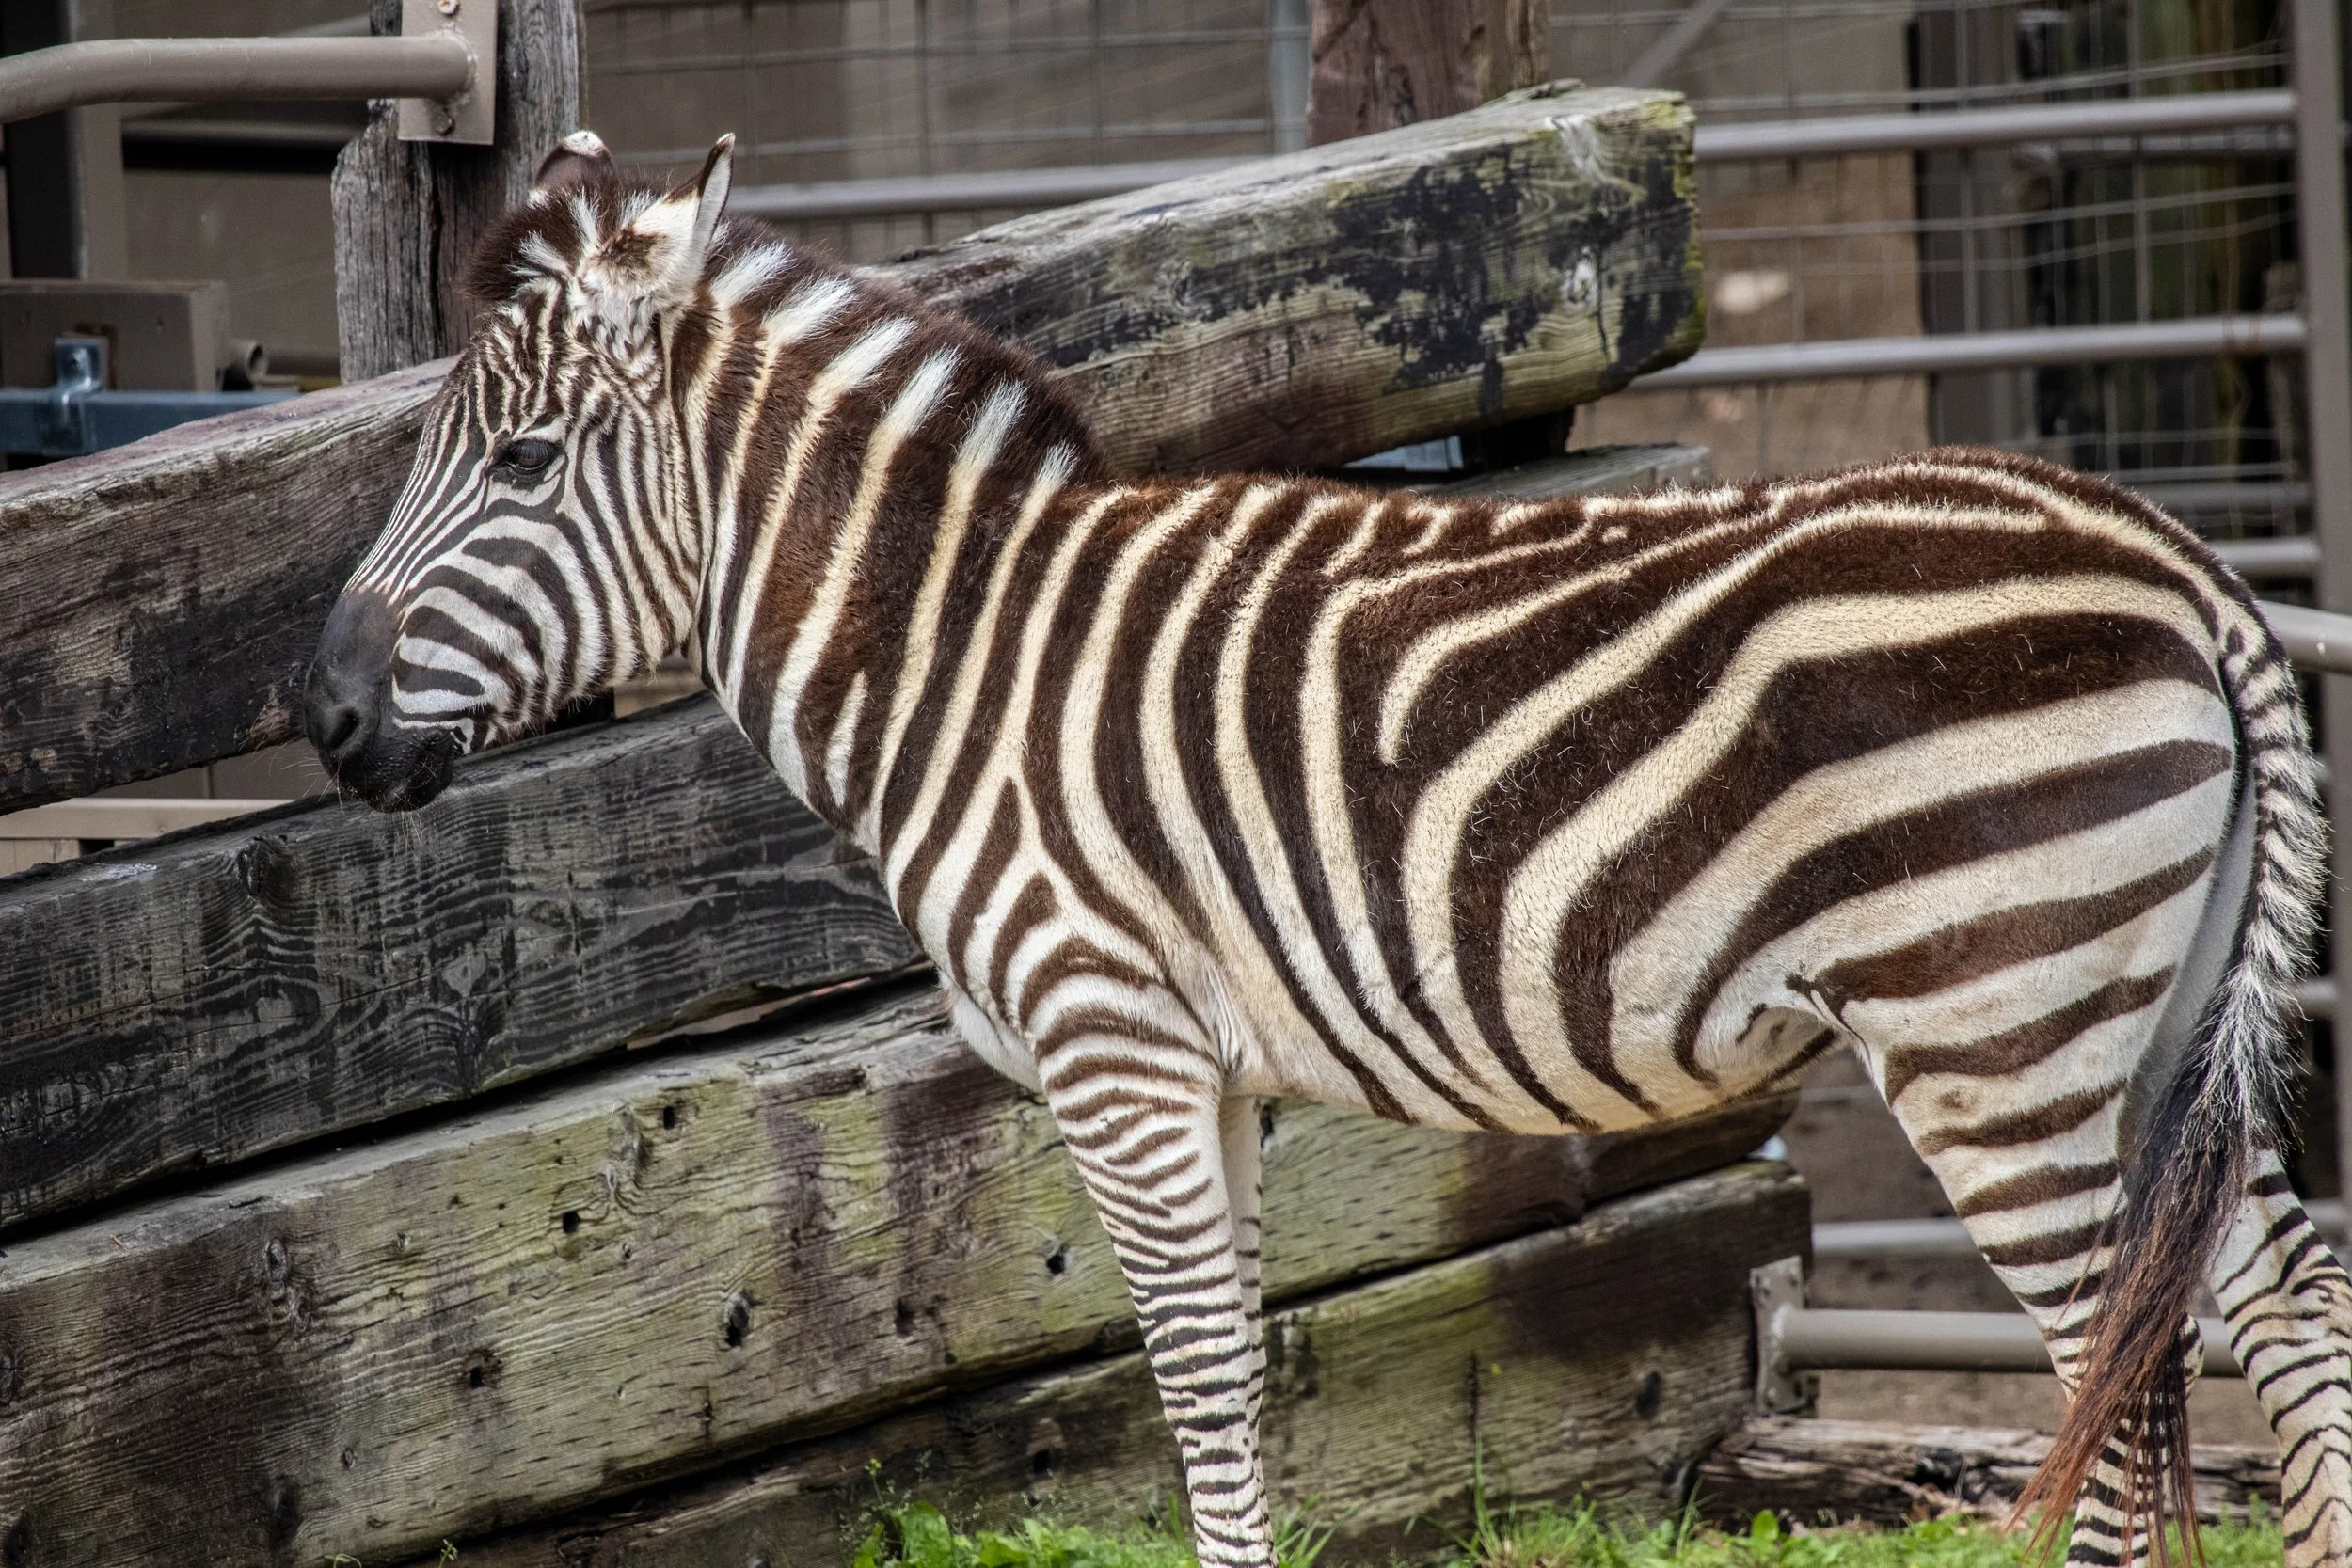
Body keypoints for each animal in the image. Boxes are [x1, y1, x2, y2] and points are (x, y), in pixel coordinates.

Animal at [305, 129, 2352, 1568]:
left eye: (519, 464)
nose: (321, 716)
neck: (961, 647)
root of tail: (2176, 559)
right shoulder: (1204, 1068)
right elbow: (1238, 1367)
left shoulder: (1109, 1036)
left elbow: (1198, 1375)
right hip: (2145, 1019)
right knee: (2284, 1303)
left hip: (1993, 1019)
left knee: (2114, 1374)